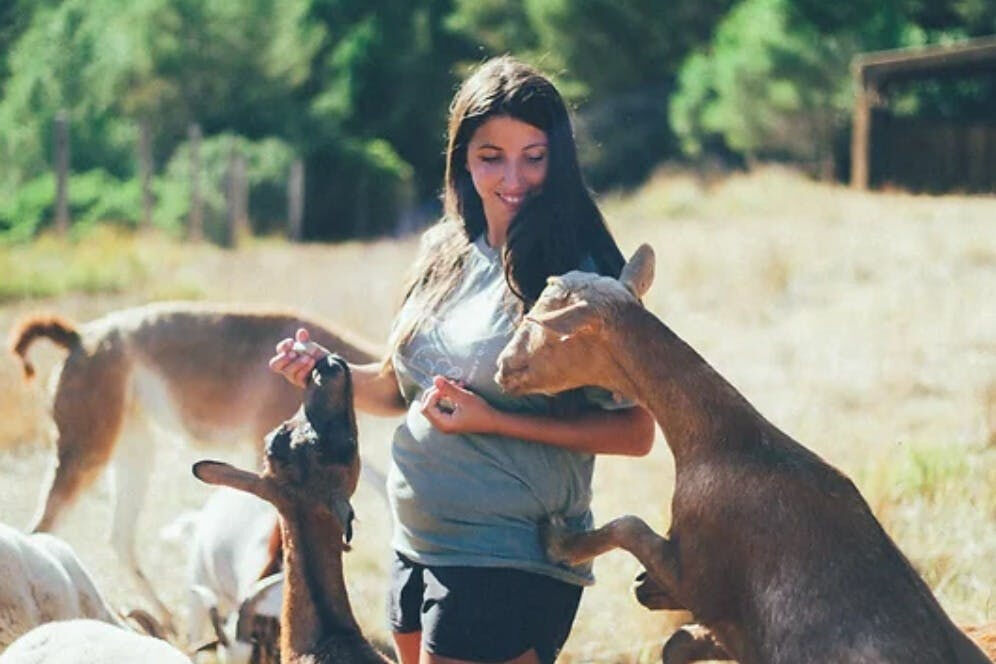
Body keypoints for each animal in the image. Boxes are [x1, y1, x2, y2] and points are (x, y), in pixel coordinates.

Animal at [494, 245, 992, 664]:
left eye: (544, 326)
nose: (503, 367)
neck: (727, 443)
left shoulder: (699, 576)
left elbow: (629, 526)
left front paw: (558, 540)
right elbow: (678, 642)